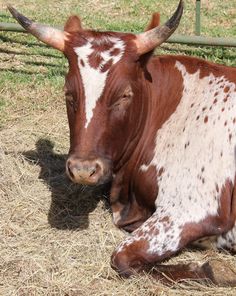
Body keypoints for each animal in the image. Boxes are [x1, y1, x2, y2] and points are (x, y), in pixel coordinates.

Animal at [8, 0, 236, 284]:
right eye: (69, 95)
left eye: (123, 95)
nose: (83, 169)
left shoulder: (192, 208)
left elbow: (122, 257)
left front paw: (219, 269)